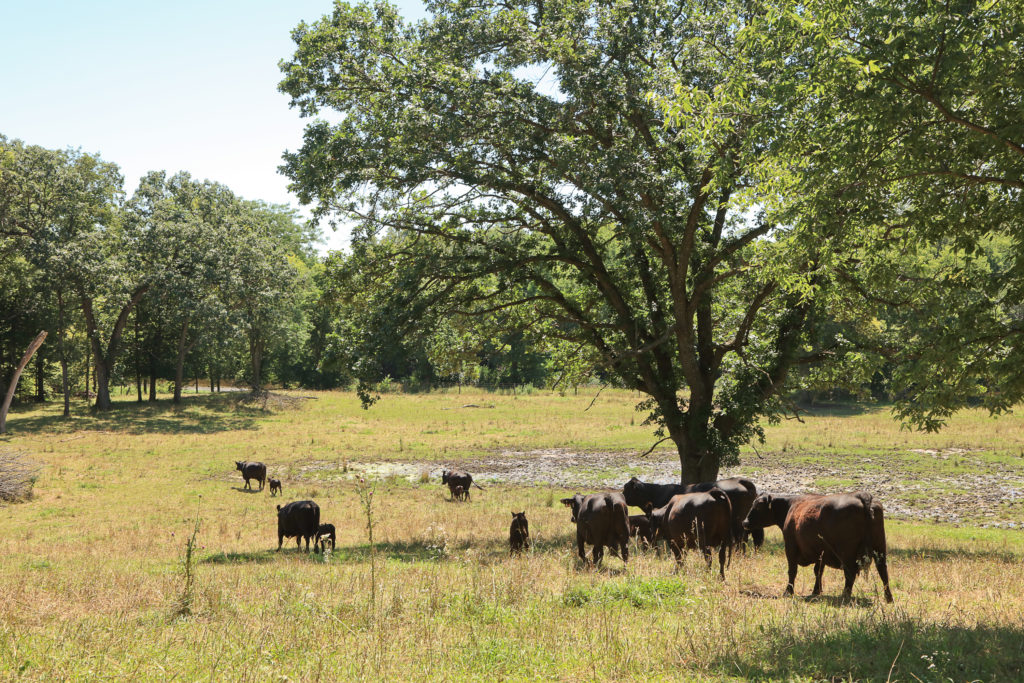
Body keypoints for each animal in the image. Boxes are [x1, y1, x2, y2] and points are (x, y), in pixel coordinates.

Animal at [741, 491, 892, 602]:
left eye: (758, 505)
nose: (745, 522)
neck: (791, 506)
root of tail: (861, 496)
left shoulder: (790, 547)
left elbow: (792, 571)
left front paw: (788, 591)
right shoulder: (821, 553)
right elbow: (818, 571)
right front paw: (816, 590)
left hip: (846, 552)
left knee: (850, 573)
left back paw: (845, 596)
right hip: (880, 548)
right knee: (883, 572)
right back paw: (888, 597)